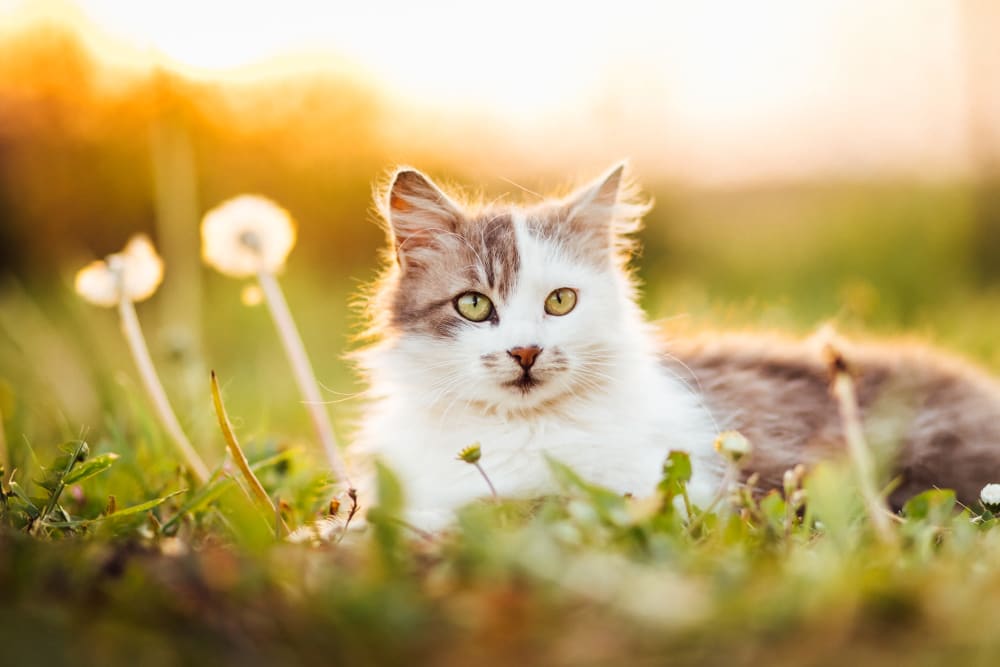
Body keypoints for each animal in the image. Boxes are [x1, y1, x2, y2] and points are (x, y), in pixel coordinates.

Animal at [350, 162, 1000, 528]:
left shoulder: (634, 493)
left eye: (560, 301)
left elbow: (495, 507)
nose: (526, 353)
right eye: (473, 305)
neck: (515, 432)